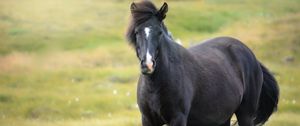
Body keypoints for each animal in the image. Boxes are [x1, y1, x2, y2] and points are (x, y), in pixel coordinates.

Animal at [125, 1, 278, 126]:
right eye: (137, 32)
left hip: (246, 115)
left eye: (159, 32)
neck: (155, 86)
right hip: (223, 118)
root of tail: (251, 55)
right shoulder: (147, 120)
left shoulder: (178, 118)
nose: (148, 65)